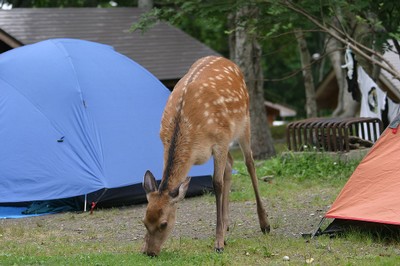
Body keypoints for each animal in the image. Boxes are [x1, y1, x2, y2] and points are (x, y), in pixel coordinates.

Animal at [142, 55, 270, 256]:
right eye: (145, 221)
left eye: (164, 224)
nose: (149, 252)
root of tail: (226, 59)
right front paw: (222, 234)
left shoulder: (220, 140)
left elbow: (216, 183)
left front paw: (218, 243)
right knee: (230, 164)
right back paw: (226, 224)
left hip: (244, 122)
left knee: (249, 163)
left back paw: (264, 224)